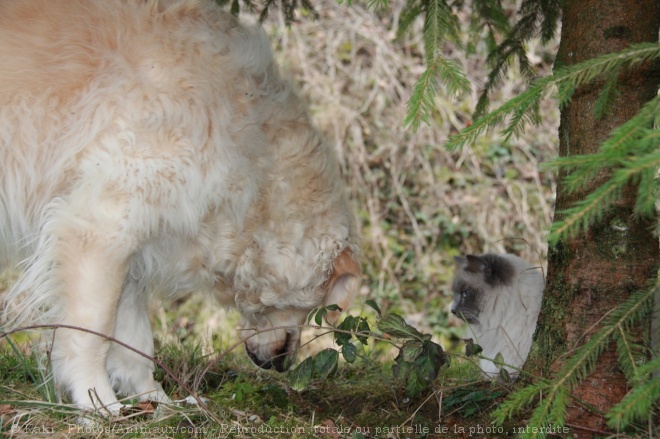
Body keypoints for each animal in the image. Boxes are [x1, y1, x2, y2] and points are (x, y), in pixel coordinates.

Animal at [0, 0, 360, 414]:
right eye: (311, 307)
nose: (281, 365)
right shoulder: (97, 228)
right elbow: (92, 333)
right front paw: (99, 403)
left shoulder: (130, 249)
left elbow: (134, 344)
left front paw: (156, 403)